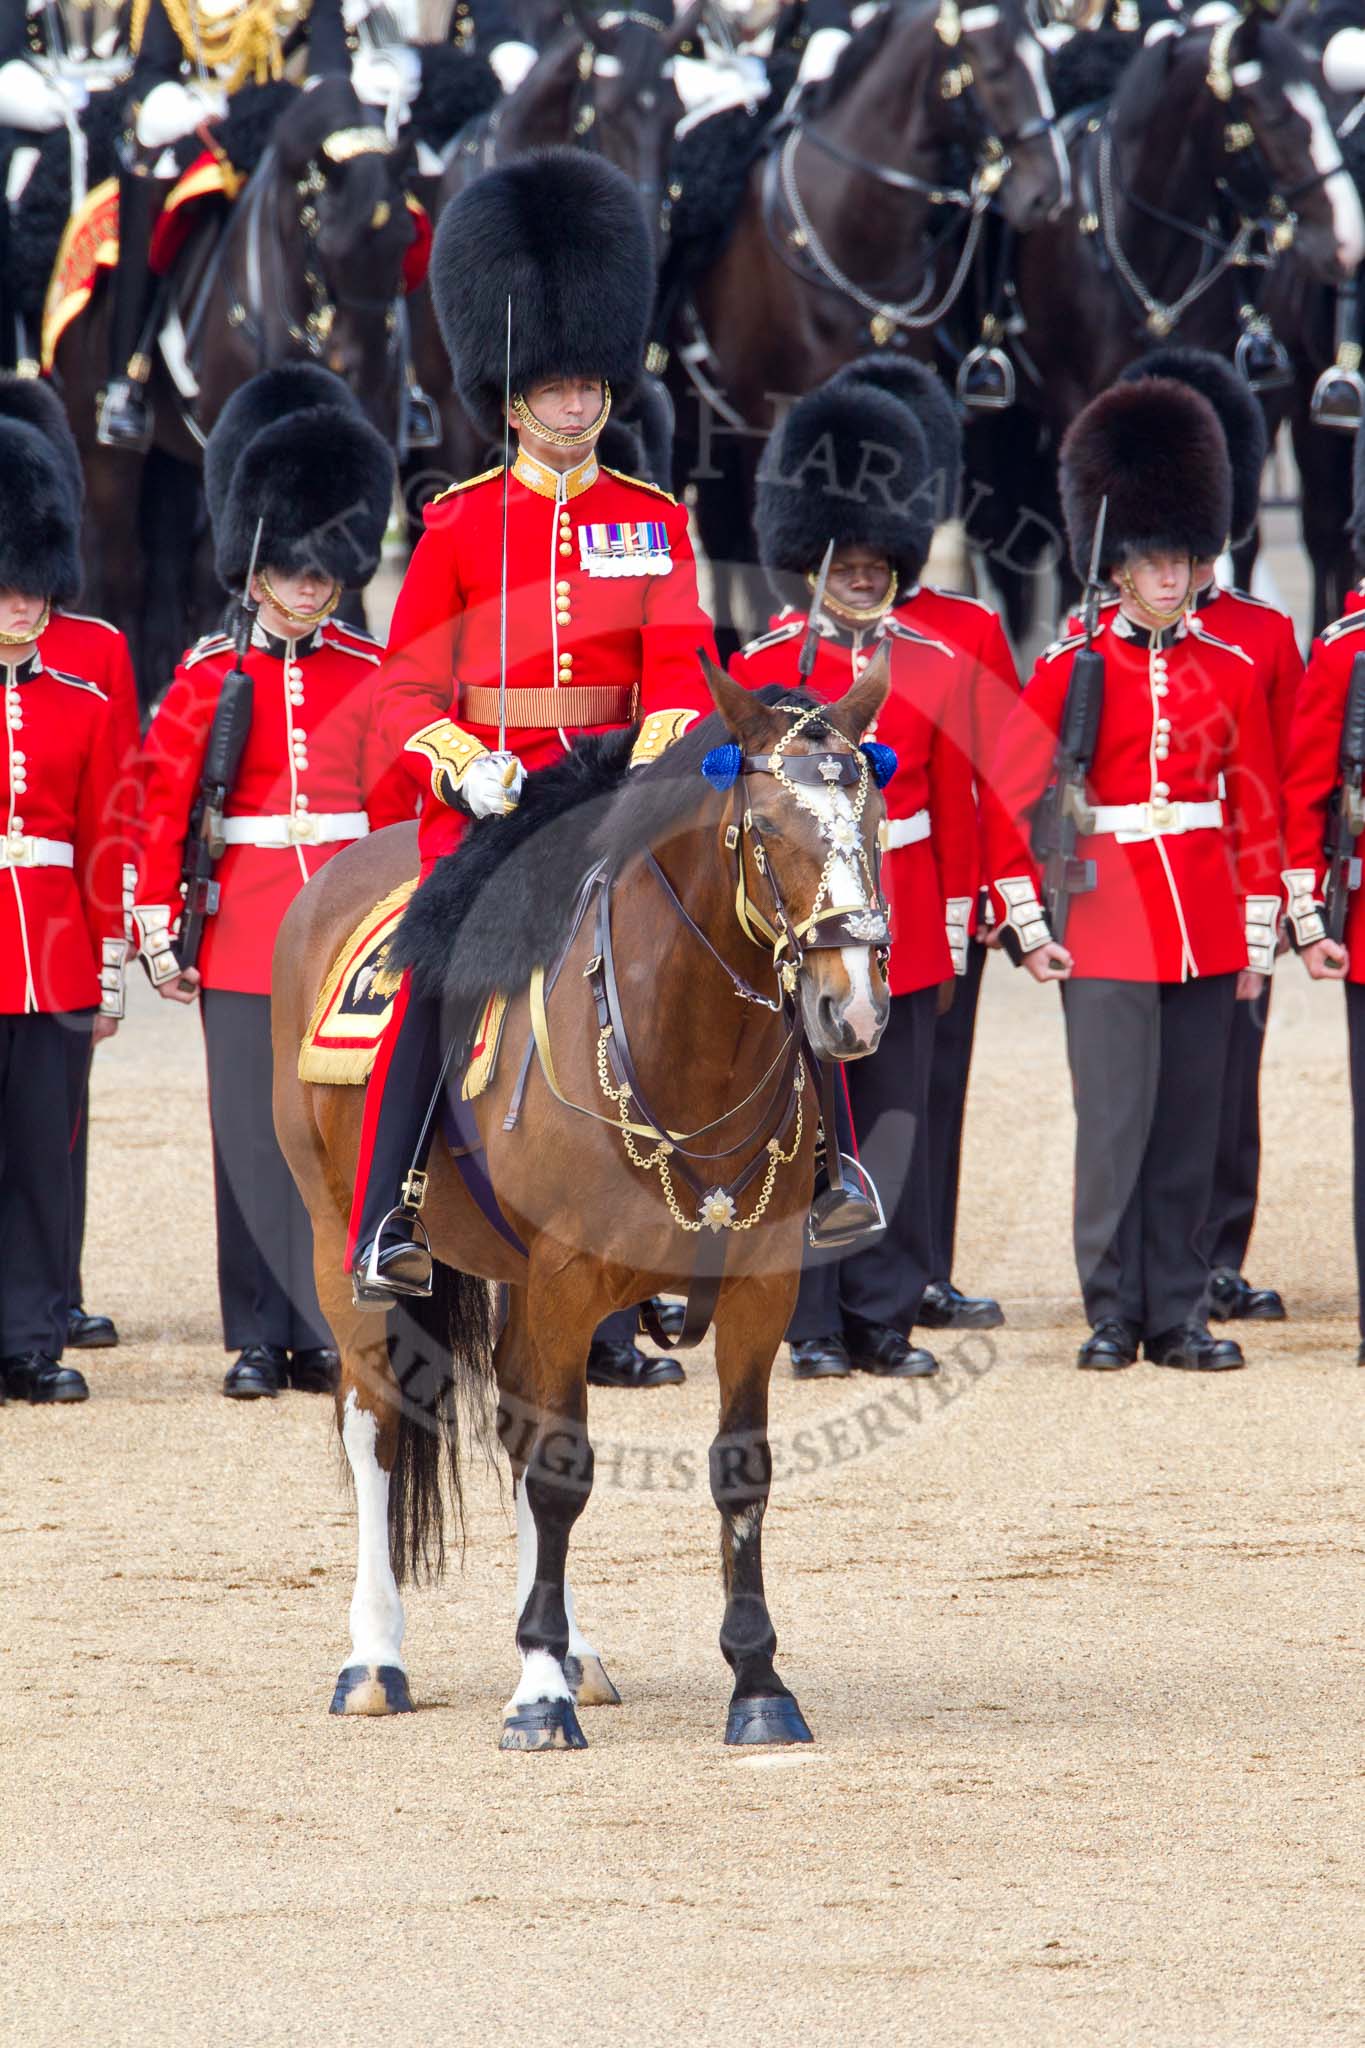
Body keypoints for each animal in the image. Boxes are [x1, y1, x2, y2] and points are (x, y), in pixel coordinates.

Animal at [278, 655, 896, 1744]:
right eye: (765, 832)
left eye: (872, 824)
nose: (852, 1009)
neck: (680, 1033)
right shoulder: (567, 1278)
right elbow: (562, 1470)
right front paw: (536, 1696)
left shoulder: (754, 1291)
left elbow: (739, 1470)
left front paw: (757, 1684)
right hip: (338, 1248)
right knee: (373, 1422)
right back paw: (375, 1657)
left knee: (514, 1430)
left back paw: (565, 1641)